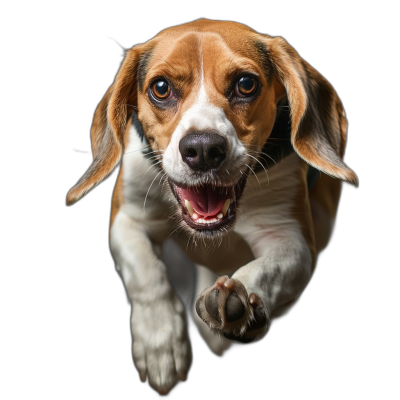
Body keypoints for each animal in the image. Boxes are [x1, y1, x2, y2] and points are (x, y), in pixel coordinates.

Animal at [66, 18, 360, 394]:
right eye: (160, 88)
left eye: (246, 84)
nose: (203, 148)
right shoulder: (128, 220)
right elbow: (147, 275)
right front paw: (160, 341)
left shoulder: (292, 241)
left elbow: (267, 269)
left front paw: (238, 299)